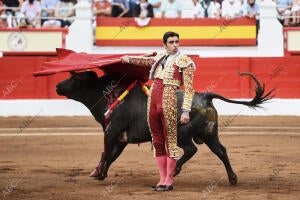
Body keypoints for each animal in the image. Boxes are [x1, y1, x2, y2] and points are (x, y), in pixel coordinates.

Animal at [55, 70, 274, 186]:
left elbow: (107, 152)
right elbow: (112, 155)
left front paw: (100, 173)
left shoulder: (112, 131)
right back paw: (233, 178)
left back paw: (175, 170)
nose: (57, 86)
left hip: (182, 133)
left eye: (74, 78)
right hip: (210, 134)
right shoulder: (121, 138)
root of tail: (204, 96)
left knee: (191, 149)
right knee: (221, 150)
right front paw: (101, 173)